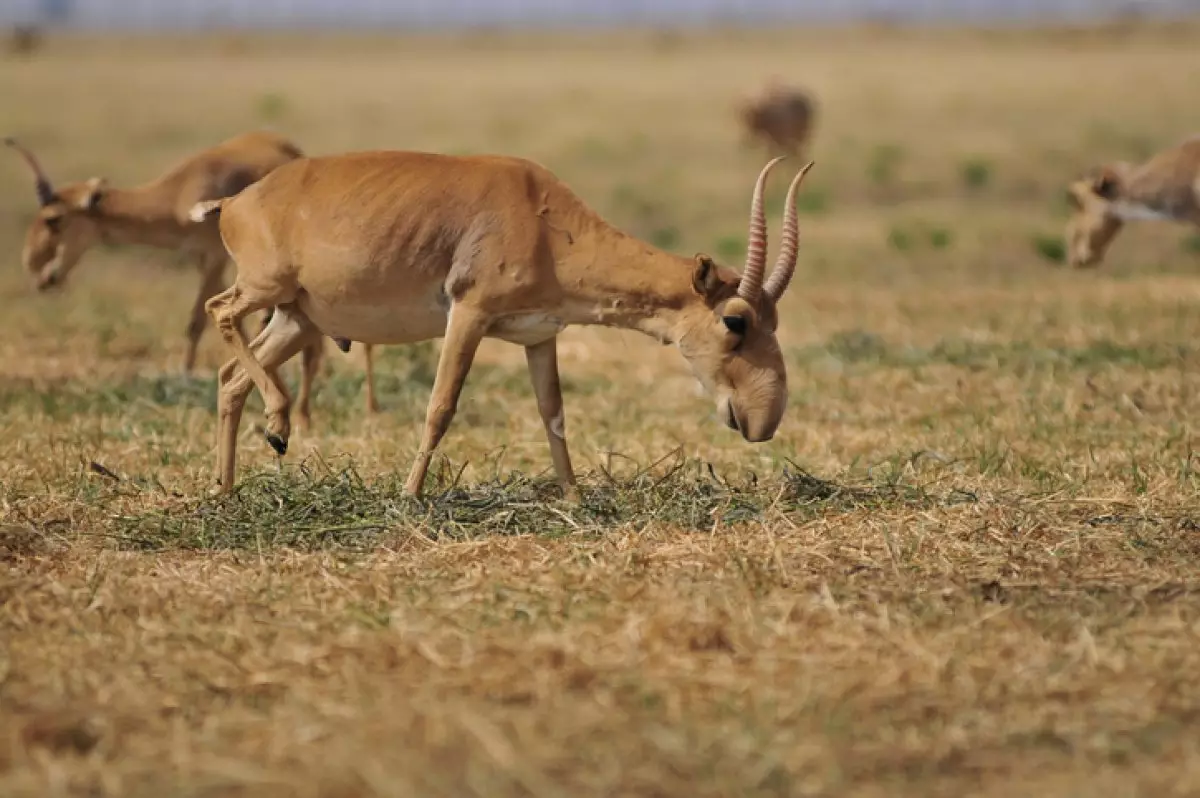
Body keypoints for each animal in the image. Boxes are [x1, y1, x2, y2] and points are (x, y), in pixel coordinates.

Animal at [194, 151, 816, 499]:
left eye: (775, 319)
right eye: (736, 320)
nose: (763, 420)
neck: (543, 216)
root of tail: (235, 202)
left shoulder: (539, 335)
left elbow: (554, 415)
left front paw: (574, 499)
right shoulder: (468, 315)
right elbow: (440, 406)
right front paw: (409, 497)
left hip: (297, 319)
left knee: (230, 379)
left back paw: (227, 490)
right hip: (266, 292)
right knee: (219, 312)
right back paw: (276, 426)